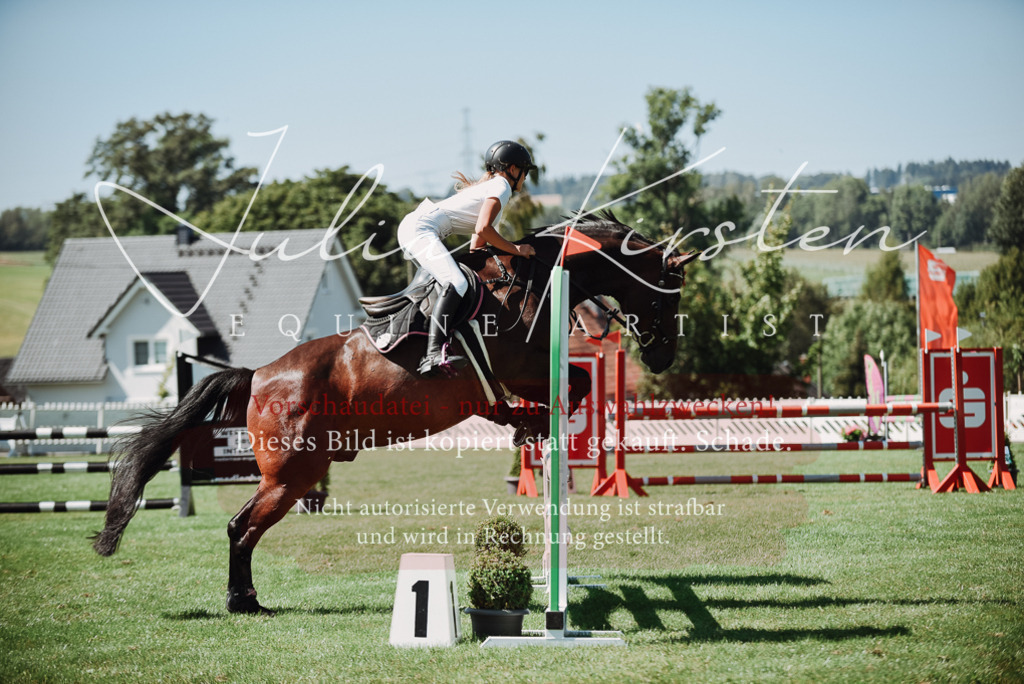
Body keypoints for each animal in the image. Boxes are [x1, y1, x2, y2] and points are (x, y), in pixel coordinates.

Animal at [91, 213, 697, 614]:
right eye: (668, 295)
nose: (663, 357)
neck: (536, 281)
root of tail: (259, 375)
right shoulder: (526, 368)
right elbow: (576, 383)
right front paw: (529, 423)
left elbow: (569, 387)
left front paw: (525, 425)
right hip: (291, 476)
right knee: (242, 529)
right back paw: (245, 603)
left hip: (293, 473)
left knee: (241, 527)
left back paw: (245, 600)